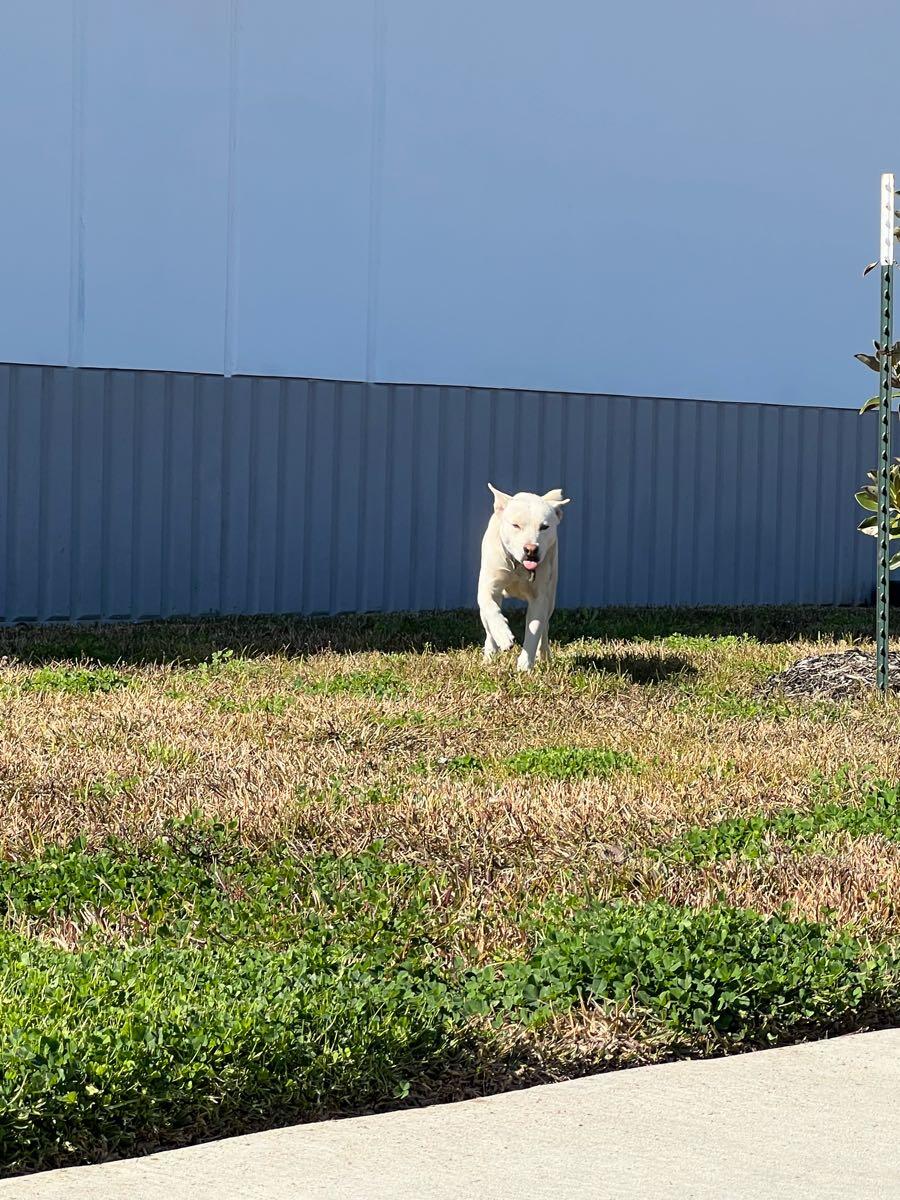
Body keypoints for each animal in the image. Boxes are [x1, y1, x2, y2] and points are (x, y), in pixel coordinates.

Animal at [480, 482, 571, 672]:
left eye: (544, 527)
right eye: (515, 525)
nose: (531, 549)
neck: (518, 566)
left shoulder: (540, 599)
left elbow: (534, 629)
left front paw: (525, 665)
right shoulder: (487, 587)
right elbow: (491, 608)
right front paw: (503, 635)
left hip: (551, 597)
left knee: (545, 626)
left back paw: (544, 655)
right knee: (488, 625)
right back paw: (490, 653)